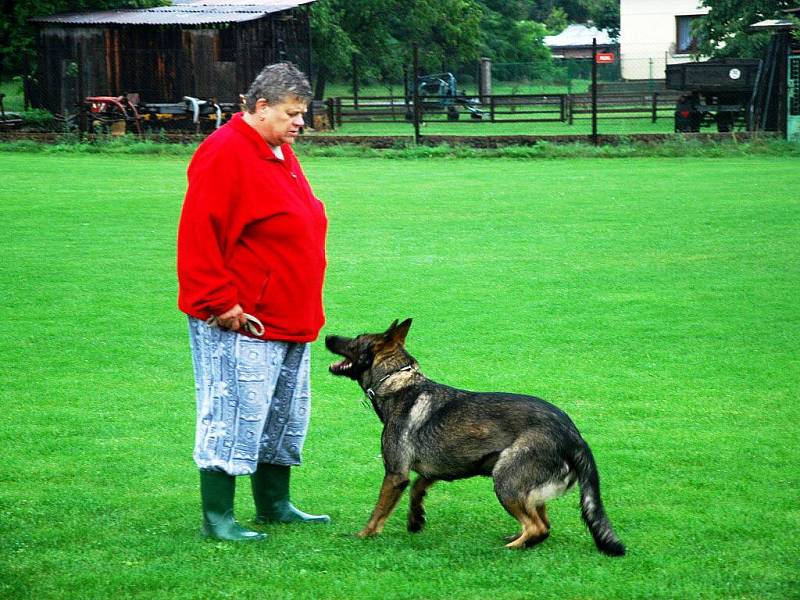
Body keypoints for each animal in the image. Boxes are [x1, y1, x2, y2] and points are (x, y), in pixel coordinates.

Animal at [324, 322, 624, 556]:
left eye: (356, 340)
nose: (327, 336)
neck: (397, 382)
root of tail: (574, 435)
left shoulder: (395, 474)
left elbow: (378, 511)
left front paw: (363, 535)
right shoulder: (433, 471)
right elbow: (418, 487)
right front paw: (415, 518)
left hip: (505, 480)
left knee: (537, 527)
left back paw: (511, 547)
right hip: (528, 489)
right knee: (543, 525)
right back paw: (517, 539)